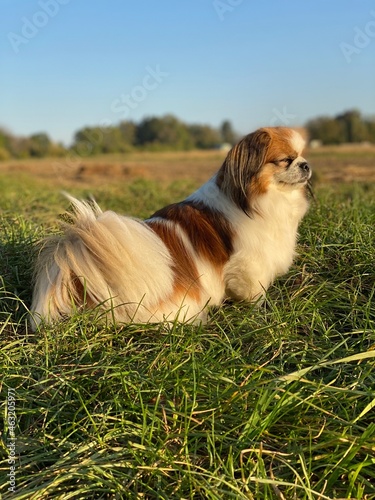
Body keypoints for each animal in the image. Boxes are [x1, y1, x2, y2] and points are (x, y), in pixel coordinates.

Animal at [28, 126, 312, 328]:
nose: (306, 164)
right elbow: (254, 292)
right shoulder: (248, 265)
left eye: (301, 156)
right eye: (286, 160)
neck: (255, 199)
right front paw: (260, 311)